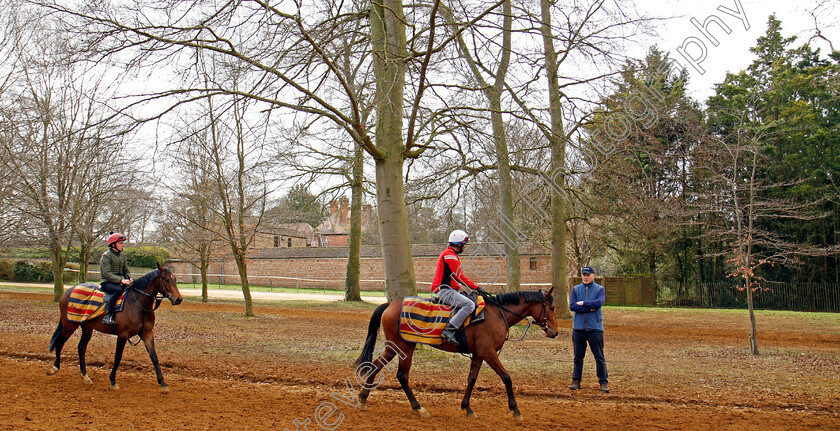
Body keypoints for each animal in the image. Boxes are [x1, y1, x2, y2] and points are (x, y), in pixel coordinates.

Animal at [47, 264, 182, 394]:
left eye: (174, 279)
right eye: (166, 279)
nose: (178, 299)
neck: (137, 303)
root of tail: (68, 291)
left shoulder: (147, 334)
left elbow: (154, 357)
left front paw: (163, 383)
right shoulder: (123, 335)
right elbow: (118, 357)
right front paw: (113, 381)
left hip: (87, 328)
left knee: (81, 348)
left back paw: (85, 376)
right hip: (69, 325)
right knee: (60, 343)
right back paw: (55, 368)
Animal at [352, 288, 556, 420]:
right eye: (552, 308)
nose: (555, 332)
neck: (497, 314)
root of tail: (389, 305)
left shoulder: (479, 354)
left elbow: (471, 379)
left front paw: (467, 407)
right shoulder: (489, 353)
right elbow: (506, 378)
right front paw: (515, 410)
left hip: (392, 347)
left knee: (375, 366)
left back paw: (363, 399)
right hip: (404, 347)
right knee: (402, 375)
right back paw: (418, 408)